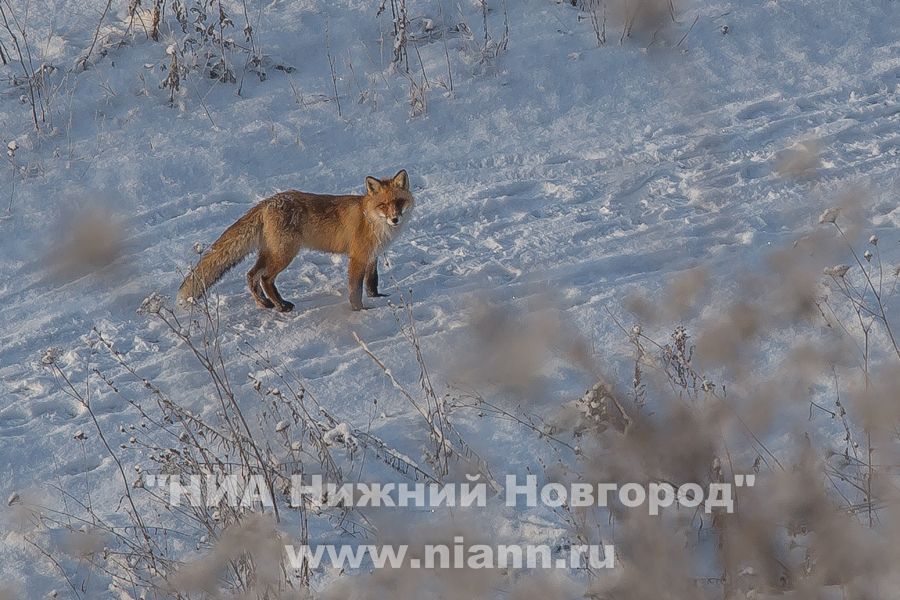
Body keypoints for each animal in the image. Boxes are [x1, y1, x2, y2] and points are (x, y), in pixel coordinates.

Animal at [177, 168, 414, 312]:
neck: (372, 219)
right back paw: (280, 306)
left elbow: (372, 281)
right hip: (285, 254)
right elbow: (355, 288)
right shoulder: (358, 257)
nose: (395, 219)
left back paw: (266, 304)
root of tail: (267, 202)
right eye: (383, 205)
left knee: (252, 275)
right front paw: (359, 309)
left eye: (399, 202)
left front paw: (377, 297)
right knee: (265, 278)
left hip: (271, 252)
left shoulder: (372, 256)